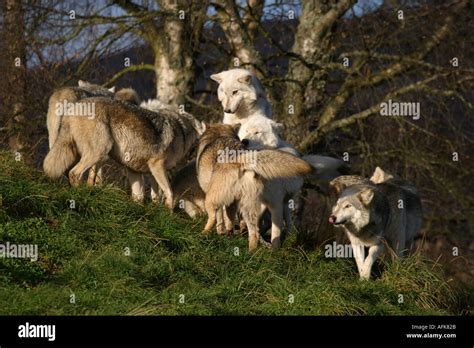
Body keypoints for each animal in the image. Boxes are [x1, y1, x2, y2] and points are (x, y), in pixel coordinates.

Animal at [44, 96, 206, 208]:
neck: (181, 131)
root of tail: (72, 108)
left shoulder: (137, 171)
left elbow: (146, 197)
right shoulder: (157, 166)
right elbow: (169, 193)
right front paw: (168, 215)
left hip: (92, 155)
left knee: (78, 175)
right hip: (101, 151)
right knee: (74, 173)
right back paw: (79, 195)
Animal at [194, 123, 312, 251]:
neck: (219, 135)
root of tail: (239, 158)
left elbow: (220, 218)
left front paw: (221, 233)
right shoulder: (233, 202)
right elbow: (229, 219)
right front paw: (230, 234)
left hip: (211, 199)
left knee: (212, 218)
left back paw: (203, 234)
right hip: (252, 206)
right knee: (256, 231)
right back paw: (252, 251)